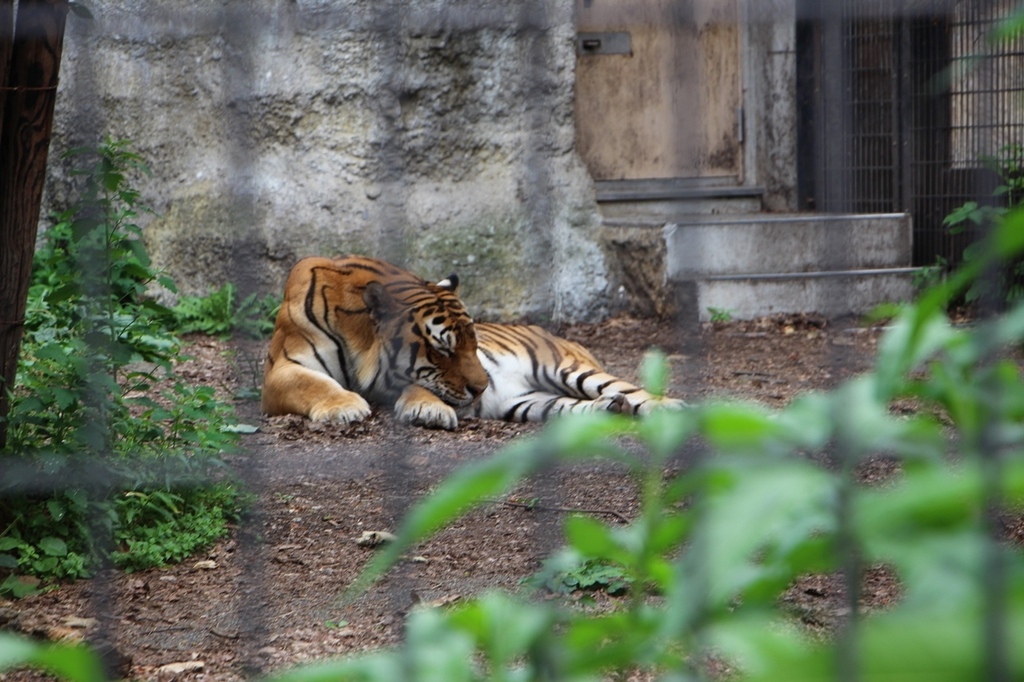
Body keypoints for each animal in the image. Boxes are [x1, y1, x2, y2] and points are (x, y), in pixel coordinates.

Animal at [260, 254, 684, 430]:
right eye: (443, 348)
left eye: (472, 344)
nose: (482, 388)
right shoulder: (284, 369)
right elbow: (312, 384)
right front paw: (345, 407)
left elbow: (417, 386)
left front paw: (428, 410)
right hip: (528, 402)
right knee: (578, 408)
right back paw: (609, 410)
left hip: (568, 369)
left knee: (633, 391)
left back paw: (673, 409)